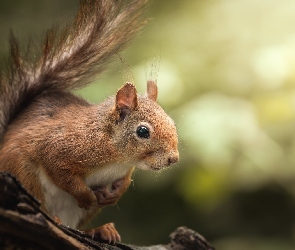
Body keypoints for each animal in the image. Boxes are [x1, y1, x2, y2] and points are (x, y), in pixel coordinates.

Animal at [0, 0, 179, 243]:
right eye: (143, 131)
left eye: (172, 122)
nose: (173, 158)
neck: (117, 156)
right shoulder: (60, 147)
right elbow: (63, 174)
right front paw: (87, 197)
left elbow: (124, 180)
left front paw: (116, 193)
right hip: (22, 174)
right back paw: (56, 219)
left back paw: (99, 230)